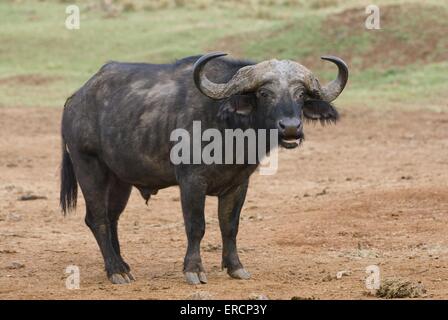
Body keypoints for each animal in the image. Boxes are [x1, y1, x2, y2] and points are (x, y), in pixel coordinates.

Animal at [59, 52, 348, 284]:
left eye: (301, 95)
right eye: (265, 93)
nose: (290, 128)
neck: (229, 129)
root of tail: (75, 100)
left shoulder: (238, 184)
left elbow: (230, 225)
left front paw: (235, 267)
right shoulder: (191, 181)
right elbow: (196, 225)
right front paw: (194, 270)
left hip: (120, 179)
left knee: (112, 217)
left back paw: (123, 265)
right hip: (89, 166)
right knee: (96, 218)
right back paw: (116, 271)